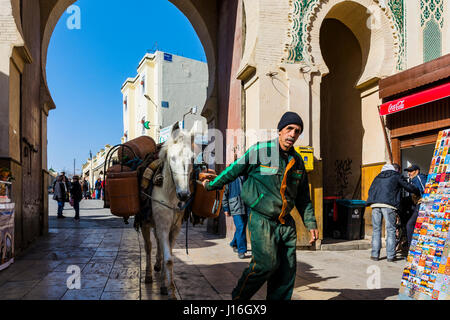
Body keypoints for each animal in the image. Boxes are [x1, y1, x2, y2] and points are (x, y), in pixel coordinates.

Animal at [141, 123, 195, 300]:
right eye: (172, 158)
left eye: (192, 158)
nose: (184, 195)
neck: (170, 194)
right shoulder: (163, 226)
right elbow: (169, 259)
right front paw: (171, 291)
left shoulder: (175, 228)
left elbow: (169, 256)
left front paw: (165, 285)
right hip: (145, 223)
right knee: (149, 246)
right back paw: (149, 275)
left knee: (157, 243)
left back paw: (158, 267)